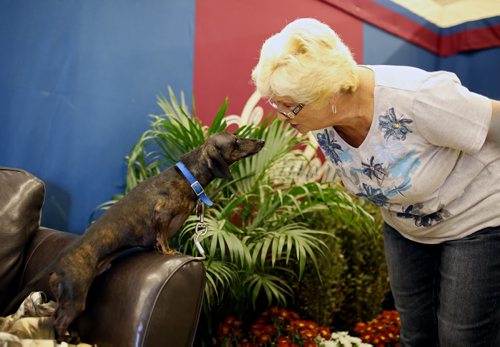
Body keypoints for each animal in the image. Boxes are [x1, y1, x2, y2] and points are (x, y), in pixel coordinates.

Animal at [2, 130, 266, 342]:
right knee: (57, 322)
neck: (188, 177)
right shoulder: (162, 215)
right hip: (76, 298)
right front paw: (168, 251)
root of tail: (58, 261)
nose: (262, 141)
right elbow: (162, 236)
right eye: (236, 140)